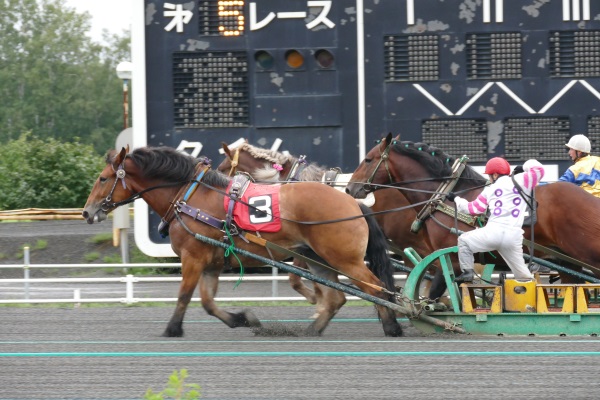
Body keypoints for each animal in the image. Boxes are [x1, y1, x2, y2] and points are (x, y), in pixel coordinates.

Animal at [82, 145, 404, 336]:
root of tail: (352, 202)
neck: (190, 196)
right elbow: (208, 302)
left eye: (102, 178)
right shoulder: (210, 261)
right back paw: (313, 329)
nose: (87, 211)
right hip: (318, 258)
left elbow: (185, 295)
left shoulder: (193, 257)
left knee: (375, 286)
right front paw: (242, 318)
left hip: (343, 258)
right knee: (338, 297)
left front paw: (172, 329)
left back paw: (392, 326)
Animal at [344, 134, 600, 288]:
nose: (349, 187)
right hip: (568, 261)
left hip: (585, 252)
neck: (443, 196)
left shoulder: (450, 256)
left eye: (368, 159)